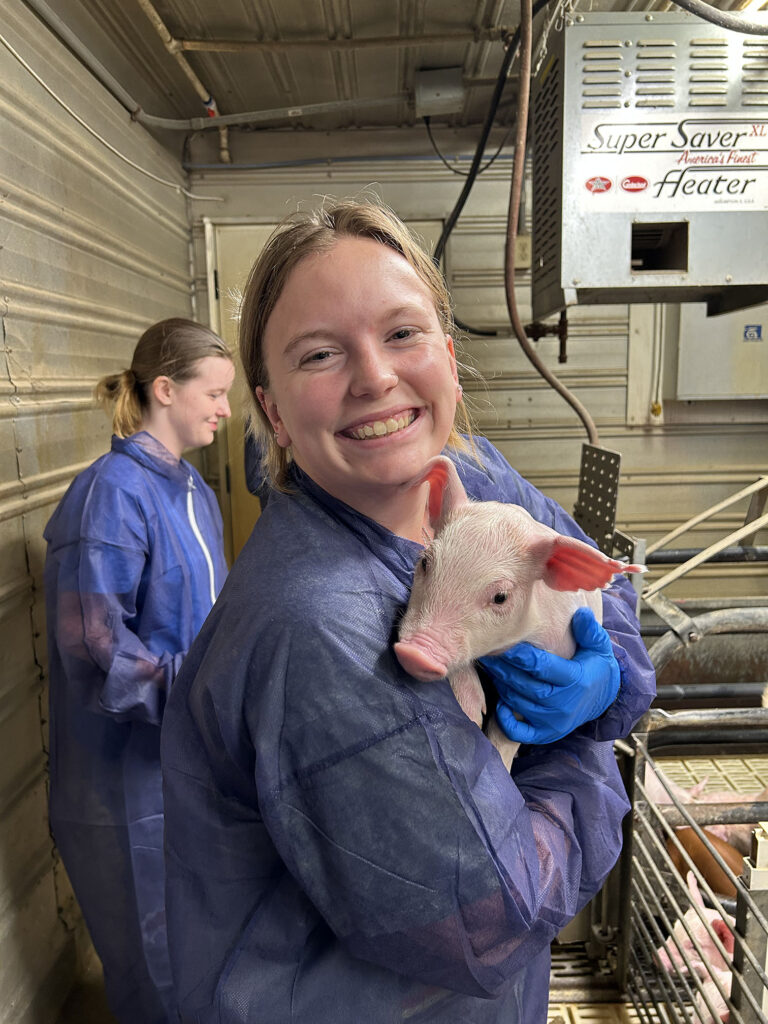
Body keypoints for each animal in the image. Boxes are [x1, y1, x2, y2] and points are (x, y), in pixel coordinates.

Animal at [393, 456, 647, 770]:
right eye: (425, 562)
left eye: (501, 597)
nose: (414, 653)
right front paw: (471, 713)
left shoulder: (555, 661)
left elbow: (515, 725)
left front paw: (500, 760)